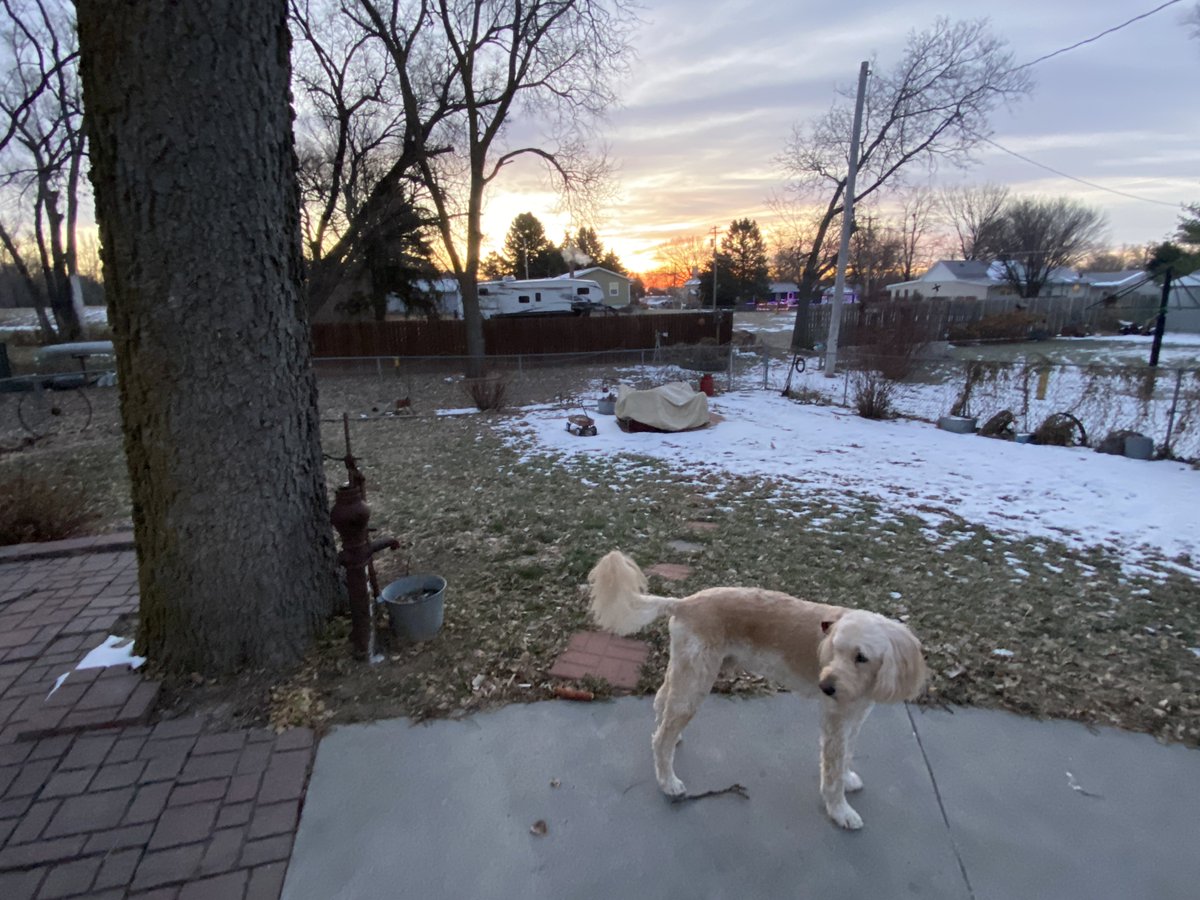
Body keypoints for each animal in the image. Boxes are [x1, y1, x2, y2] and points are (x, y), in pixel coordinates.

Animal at [590, 549, 926, 830]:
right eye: (834, 650)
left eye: (861, 657)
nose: (825, 686)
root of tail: (684, 603)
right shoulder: (835, 720)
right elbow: (832, 768)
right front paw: (840, 810)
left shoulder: (854, 716)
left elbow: (848, 754)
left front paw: (847, 779)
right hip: (696, 681)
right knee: (661, 738)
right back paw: (667, 780)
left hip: (686, 671)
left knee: (662, 703)